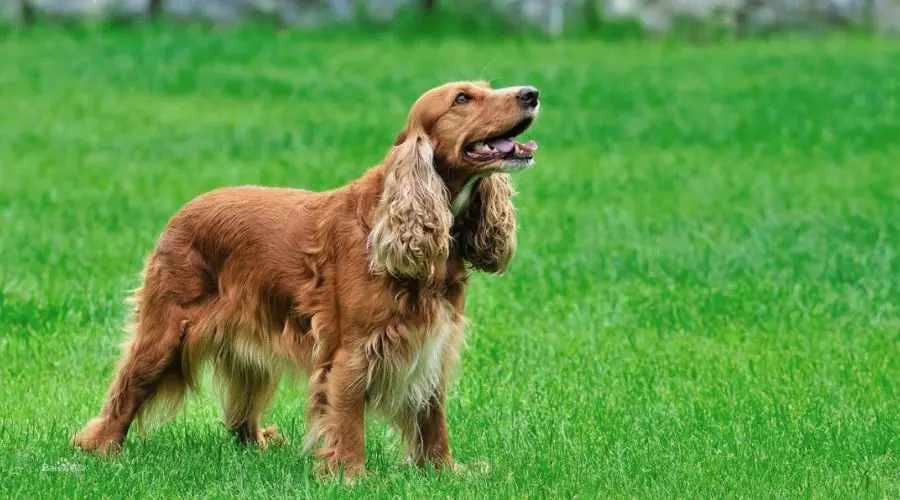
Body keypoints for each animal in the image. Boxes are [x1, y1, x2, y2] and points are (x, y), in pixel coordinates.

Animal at [74, 80, 536, 478]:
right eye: (462, 98)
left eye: (487, 87)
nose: (531, 93)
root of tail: (182, 211)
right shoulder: (353, 350)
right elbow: (347, 417)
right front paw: (351, 475)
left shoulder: (432, 342)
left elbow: (433, 416)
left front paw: (445, 471)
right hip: (166, 331)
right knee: (126, 391)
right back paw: (101, 449)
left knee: (240, 413)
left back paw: (258, 444)